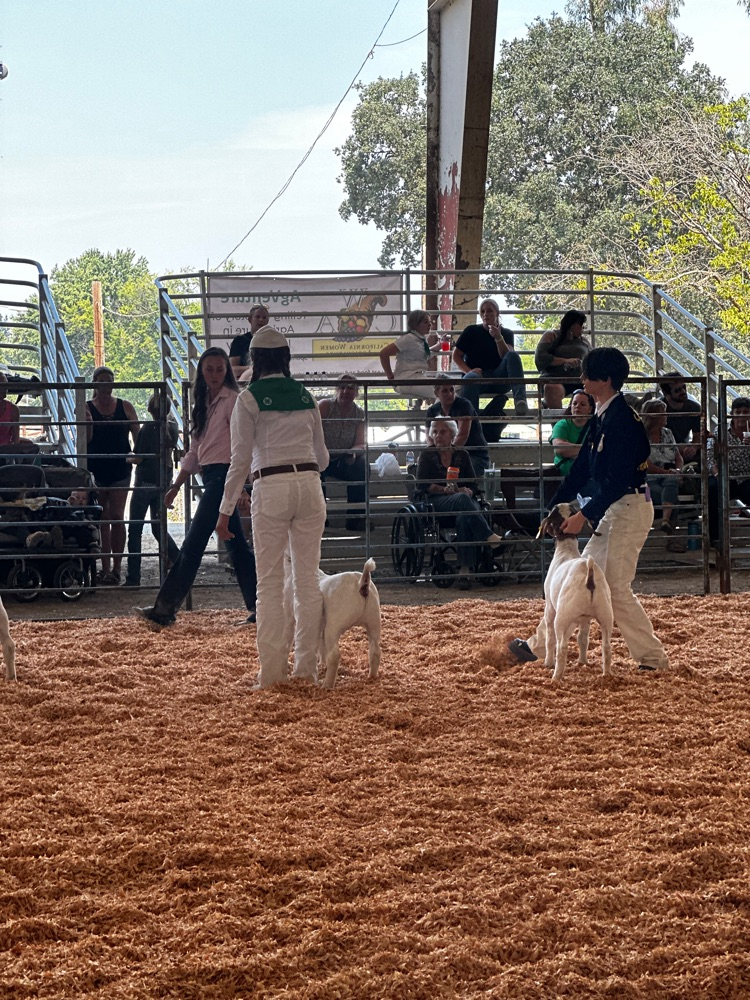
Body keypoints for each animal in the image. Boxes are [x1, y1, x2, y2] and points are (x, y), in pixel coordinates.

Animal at [284, 556, 384, 688]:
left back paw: (327, 685)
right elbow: (321, 645)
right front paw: (321, 664)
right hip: (374, 621)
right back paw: (372, 676)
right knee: (375, 650)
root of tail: (362, 584)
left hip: (334, 625)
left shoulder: (290, 616)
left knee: (334, 655)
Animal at [540, 504, 616, 684]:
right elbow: (583, 639)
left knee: (561, 646)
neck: (566, 550)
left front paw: (547, 663)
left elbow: (550, 639)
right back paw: (607, 675)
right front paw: (582, 662)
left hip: (562, 617)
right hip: (606, 615)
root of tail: (589, 574)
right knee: (607, 647)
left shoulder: (550, 609)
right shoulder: (585, 618)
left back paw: (556, 677)